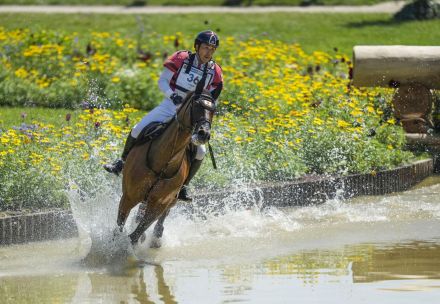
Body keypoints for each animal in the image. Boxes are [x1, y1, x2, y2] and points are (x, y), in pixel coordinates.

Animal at [115, 86, 215, 246]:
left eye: (214, 110)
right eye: (196, 104)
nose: (203, 134)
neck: (162, 163)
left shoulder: (160, 203)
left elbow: (136, 233)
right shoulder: (129, 196)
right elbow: (120, 225)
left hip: (171, 199)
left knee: (161, 216)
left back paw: (157, 235)